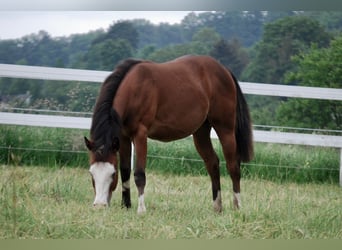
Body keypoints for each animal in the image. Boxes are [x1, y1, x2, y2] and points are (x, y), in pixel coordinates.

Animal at [84, 54, 252, 213]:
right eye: (91, 174)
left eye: (112, 174)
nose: (99, 205)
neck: (134, 88)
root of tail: (224, 70)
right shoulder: (123, 137)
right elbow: (125, 171)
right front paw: (126, 206)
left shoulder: (140, 135)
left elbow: (139, 174)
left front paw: (141, 209)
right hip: (201, 132)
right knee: (212, 163)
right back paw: (217, 206)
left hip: (225, 129)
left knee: (233, 166)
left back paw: (237, 206)